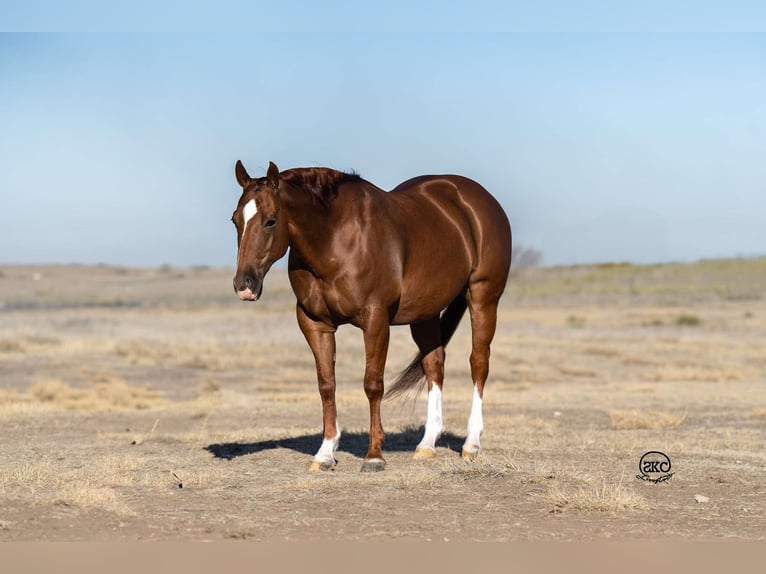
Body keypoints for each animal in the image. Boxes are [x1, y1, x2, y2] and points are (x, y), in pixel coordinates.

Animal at [231, 161, 512, 472]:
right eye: (235, 220)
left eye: (270, 220)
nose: (244, 285)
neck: (334, 239)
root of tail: (478, 199)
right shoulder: (315, 324)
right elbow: (326, 385)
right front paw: (325, 453)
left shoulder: (375, 319)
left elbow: (373, 384)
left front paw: (374, 455)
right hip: (424, 313)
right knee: (434, 365)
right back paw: (426, 444)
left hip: (483, 298)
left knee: (479, 363)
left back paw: (471, 444)